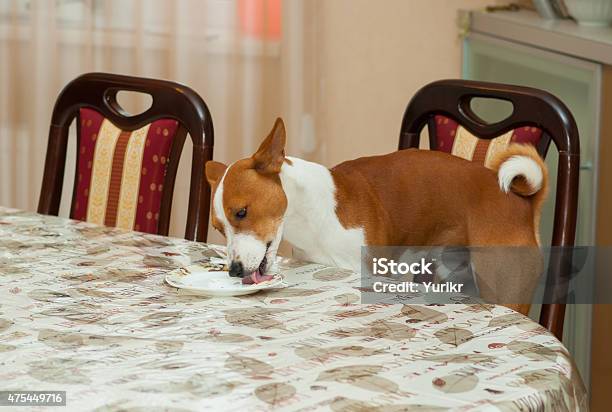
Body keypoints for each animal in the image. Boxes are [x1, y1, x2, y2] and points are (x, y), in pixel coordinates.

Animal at [206, 117, 548, 310]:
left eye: (241, 212)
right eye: (219, 228)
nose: (234, 270)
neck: (312, 217)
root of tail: (521, 202)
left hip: (504, 287)